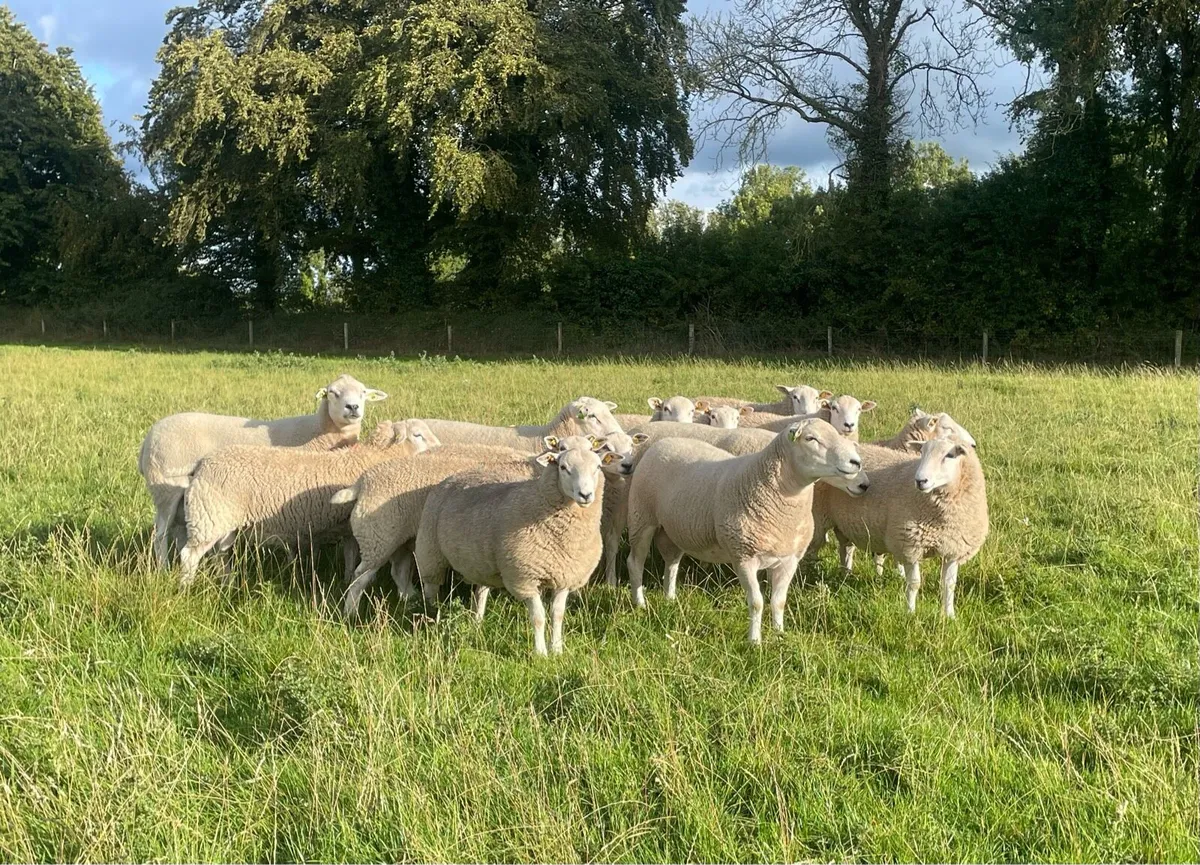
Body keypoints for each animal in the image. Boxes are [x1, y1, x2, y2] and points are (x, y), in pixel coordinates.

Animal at [139, 374, 388, 567]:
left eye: (363, 392)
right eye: (332, 393)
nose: (353, 407)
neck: (322, 431)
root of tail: (147, 440)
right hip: (167, 489)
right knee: (161, 536)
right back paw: (163, 569)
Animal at [177, 420, 428, 588]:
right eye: (418, 435)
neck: (369, 457)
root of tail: (201, 464)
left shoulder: (347, 527)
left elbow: (350, 556)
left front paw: (346, 578)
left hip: (221, 521)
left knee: (222, 552)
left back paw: (227, 582)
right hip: (206, 518)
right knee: (189, 556)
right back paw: (186, 588)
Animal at [414, 446, 620, 655]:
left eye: (598, 467)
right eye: (563, 467)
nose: (585, 495)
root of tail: (456, 475)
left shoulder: (564, 577)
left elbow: (558, 615)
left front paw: (557, 650)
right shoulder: (524, 578)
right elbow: (538, 617)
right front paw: (541, 653)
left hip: (482, 564)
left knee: (480, 592)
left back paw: (477, 623)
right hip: (429, 549)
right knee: (430, 589)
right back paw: (431, 616)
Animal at [625, 419, 864, 643]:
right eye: (810, 438)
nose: (857, 463)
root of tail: (662, 443)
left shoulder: (788, 560)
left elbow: (779, 601)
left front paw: (779, 635)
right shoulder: (744, 557)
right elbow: (757, 602)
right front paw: (755, 642)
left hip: (673, 530)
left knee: (672, 563)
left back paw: (670, 598)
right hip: (641, 518)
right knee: (635, 562)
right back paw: (640, 604)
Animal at [819, 434, 988, 617]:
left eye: (950, 455)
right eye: (922, 452)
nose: (920, 480)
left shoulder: (953, 550)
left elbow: (949, 585)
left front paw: (949, 615)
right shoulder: (910, 546)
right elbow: (914, 584)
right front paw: (910, 613)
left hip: (843, 525)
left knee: (846, 549)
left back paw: (846, 575)